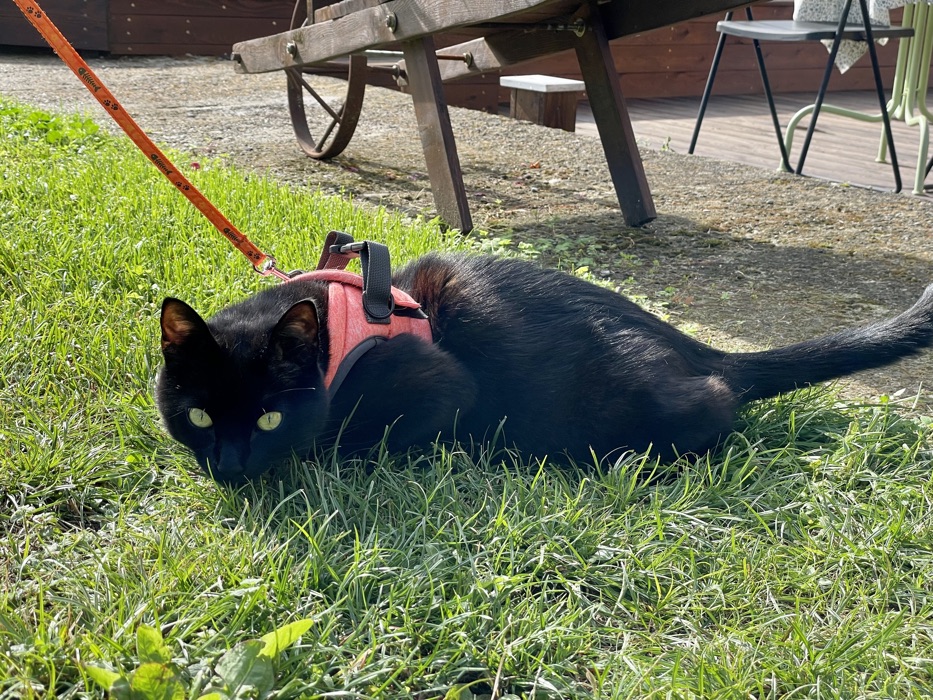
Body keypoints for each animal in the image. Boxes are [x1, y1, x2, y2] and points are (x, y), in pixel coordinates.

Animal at [157, 248, 933, 484]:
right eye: (198, 415)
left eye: (268, 418)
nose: (229, 466)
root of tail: (694, 345)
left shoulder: (443, 385)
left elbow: (347, 437)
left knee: (716, 405)